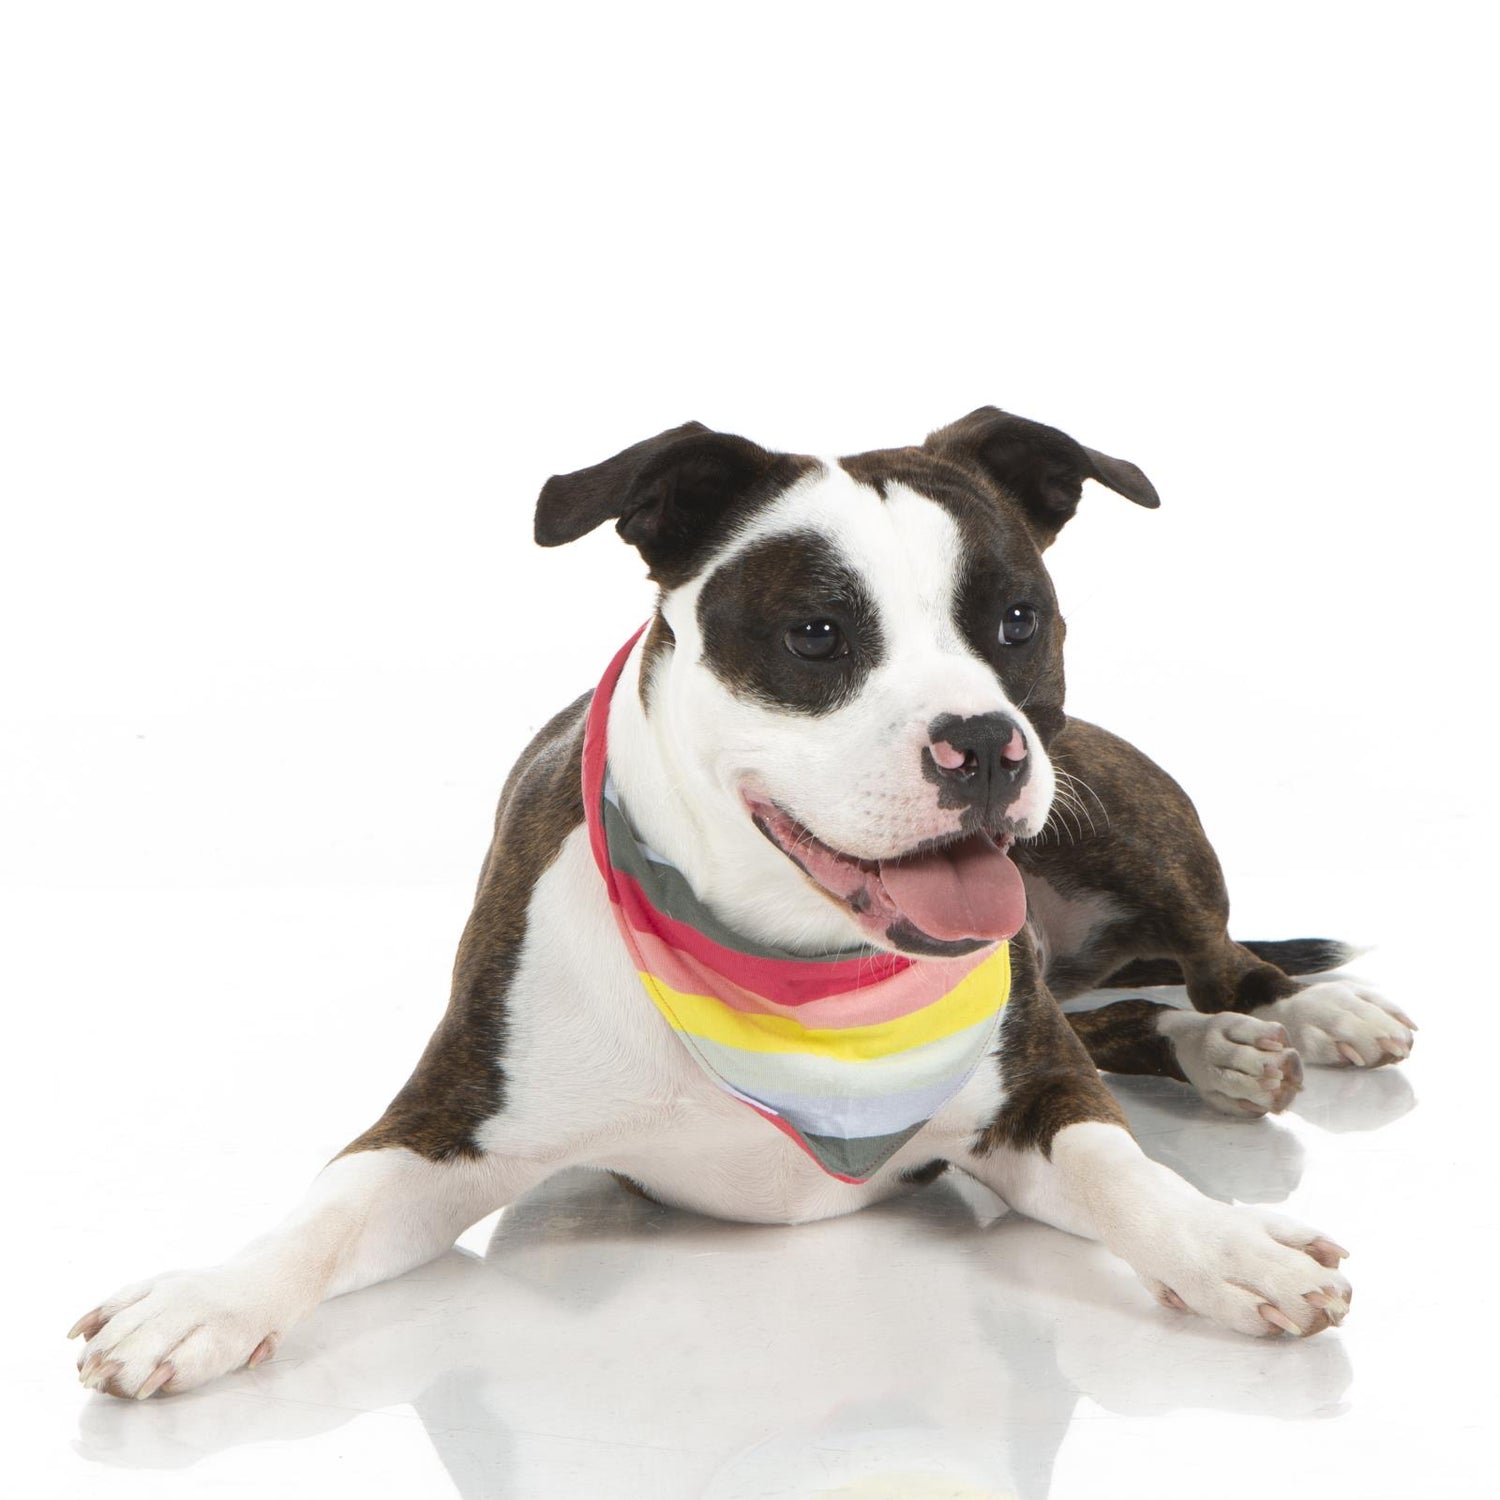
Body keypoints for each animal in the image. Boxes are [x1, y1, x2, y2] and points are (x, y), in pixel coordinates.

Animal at [70, 405, 1410, 1398]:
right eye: (816, 633)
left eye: (1017, 619)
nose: (984, 743)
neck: (798, 960)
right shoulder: (447, 1128)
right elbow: (329, 1211)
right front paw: (203, 1298)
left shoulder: (1031, 1092)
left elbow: (1123, 1167)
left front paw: (1229, 1244)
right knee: (1134, 1011)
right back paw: (1221, 1049)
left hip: (1124, 816)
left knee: (1222, 961)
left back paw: (1295, 1020)